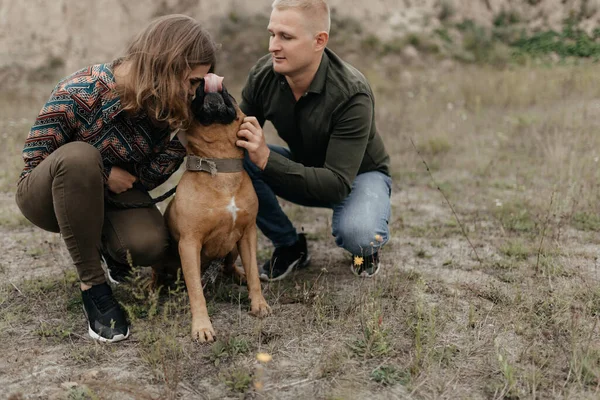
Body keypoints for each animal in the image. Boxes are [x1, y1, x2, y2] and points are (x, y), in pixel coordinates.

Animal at [162, 73, 270, 342]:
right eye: (193, 95)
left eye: (230, 92)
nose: (205, 80)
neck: (220, 166)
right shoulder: (189, 244)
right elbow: (195, 292)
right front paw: (202, 327)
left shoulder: (248, 234)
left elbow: (254, 274)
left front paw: (259, 304)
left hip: (232, 247)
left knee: (229, 266)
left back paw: (238, 275)